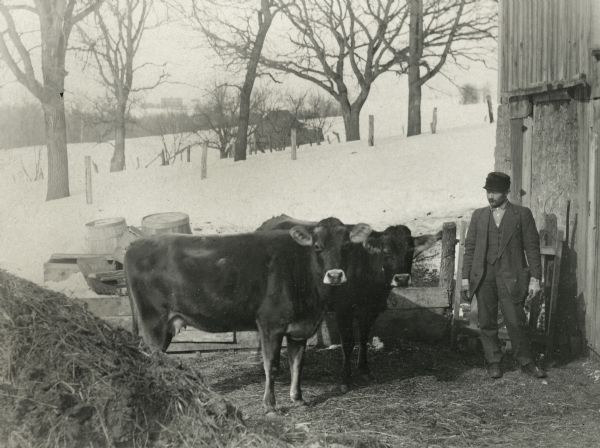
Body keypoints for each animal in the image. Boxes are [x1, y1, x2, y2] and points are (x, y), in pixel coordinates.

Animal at [125, 219, 372, 412]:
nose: (335, 275)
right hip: (153, 321)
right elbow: (271, 365)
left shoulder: (300, 328)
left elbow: (297, 364)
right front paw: (270, 405)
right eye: (317, 246)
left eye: (346, 245)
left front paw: (298, 398)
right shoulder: (270, 324)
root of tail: (136, 244)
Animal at [258, 215, 440, 390]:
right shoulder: (343, 309)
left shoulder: (371, 310)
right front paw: (345, 378)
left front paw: (364, 369)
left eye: (410, 251)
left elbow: (363, 338)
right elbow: (348, 342)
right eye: (385, 251)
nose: (402, 279)